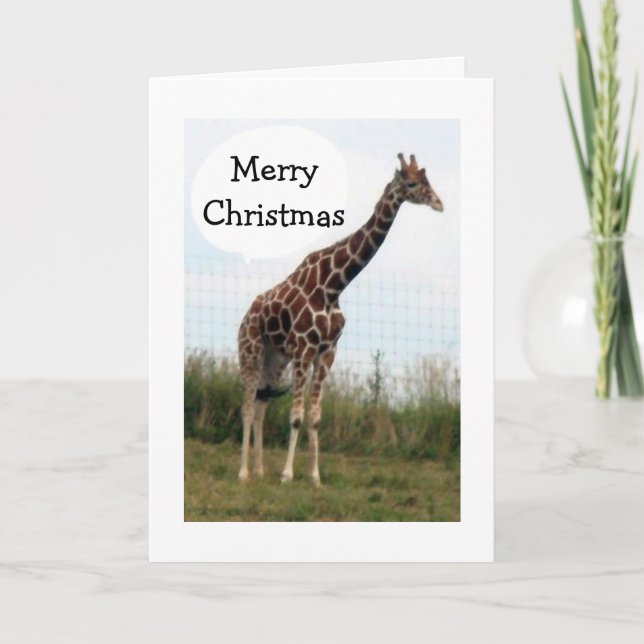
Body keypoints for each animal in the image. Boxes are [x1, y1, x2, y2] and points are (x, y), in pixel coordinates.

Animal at [237, 153, 444, 485]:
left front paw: (315, 477)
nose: (439, 203)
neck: (334, 285)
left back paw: (258, 470)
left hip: (275, 359)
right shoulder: (304, 350)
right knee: (246, 407)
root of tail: (246, 316)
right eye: (412, 183)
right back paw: (243, 472)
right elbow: (296, 417)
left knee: (259, 407)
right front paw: (287, 475)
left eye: (427, 180)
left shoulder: (327, 352)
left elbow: (315, 417)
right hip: (251, 351)